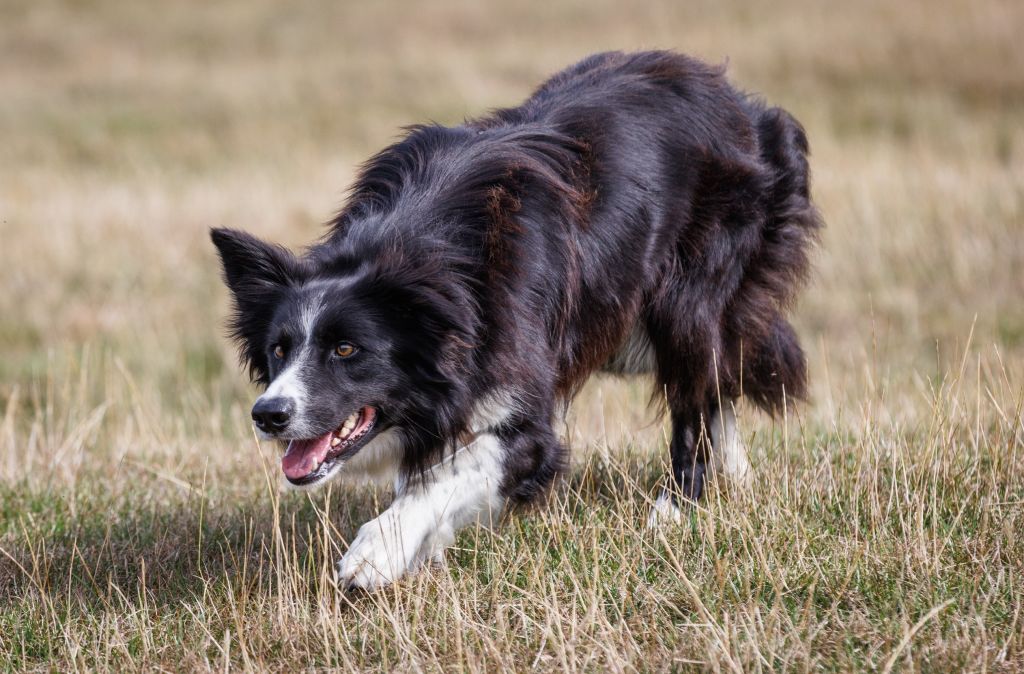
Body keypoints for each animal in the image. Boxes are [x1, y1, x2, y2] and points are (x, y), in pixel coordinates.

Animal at [211, 51, 819, 590]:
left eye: (346, 350)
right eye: (279, 350)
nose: (268, 415)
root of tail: (742, 104)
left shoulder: (519, 379)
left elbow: (477, 464)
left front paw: (377, 553)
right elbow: (429, 469)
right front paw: (420, 551)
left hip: (685, 289)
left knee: (693, 383)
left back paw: (674, 508)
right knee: (716, 373)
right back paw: (734, 473)